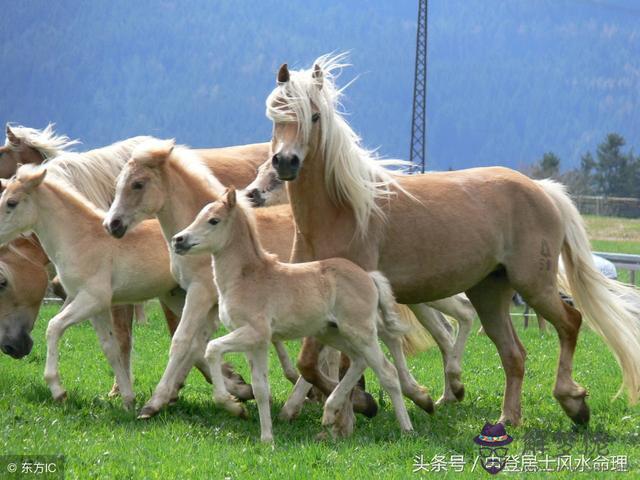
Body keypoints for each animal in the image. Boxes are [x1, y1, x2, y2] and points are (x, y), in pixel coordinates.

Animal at [172, 188, 416, 442]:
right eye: (199, 215)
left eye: (213, 220)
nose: (178, 240)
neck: (246, 277)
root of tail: (369, 276)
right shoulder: (254, 343)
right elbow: (261, 388)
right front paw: (266, 438)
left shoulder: (255, 333)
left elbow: (212, 348)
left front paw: (231, 404)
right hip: (332, 333)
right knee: (359, 362)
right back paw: (329, 412)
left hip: (360, 332)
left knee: (387, 372)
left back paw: (406, 429)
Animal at [264, 54, 640, 426]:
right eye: (276, 113)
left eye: (314, 115)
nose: (285, 162)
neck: (341, 209)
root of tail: (542, 188)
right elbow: (311, 364)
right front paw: (364, 403)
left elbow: (331, 364)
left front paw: (373, 402)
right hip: (489, 292)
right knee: (514, 353)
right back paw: (507, 419)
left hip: (534, 284)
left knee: (570, 323)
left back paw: (572, 401)